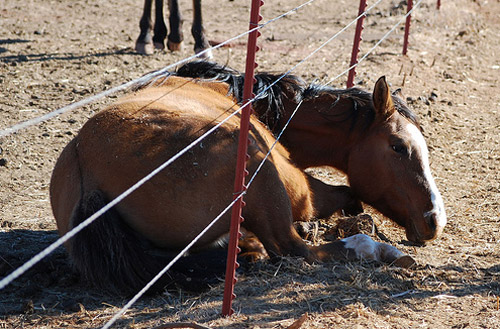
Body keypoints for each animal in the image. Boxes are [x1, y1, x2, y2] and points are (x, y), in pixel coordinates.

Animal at [50, 60, 448, 294]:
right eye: (398, 146)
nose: (435, 220)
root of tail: (88, 180)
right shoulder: (304, 190)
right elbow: (349, 194)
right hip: (267, 179)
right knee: (295, 249)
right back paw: (379, 250)